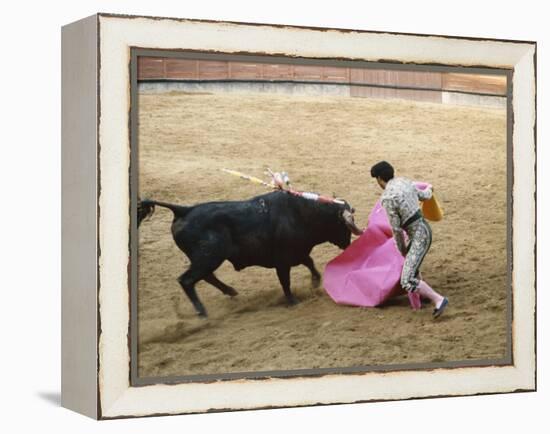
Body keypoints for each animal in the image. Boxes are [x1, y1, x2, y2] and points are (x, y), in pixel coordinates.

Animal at [138, 192, 364, 318]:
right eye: (344, 225)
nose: (348, 244)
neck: (303, 213)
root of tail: (184, 210)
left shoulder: (297, 253)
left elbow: (310, 263)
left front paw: (315, 282)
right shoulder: (282, 261)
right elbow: (286, 281)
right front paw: (293, 301)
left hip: (206, 259)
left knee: (205, 277)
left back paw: (230, 291)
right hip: (208, 257)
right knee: (187, 280)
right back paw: (202, 312)